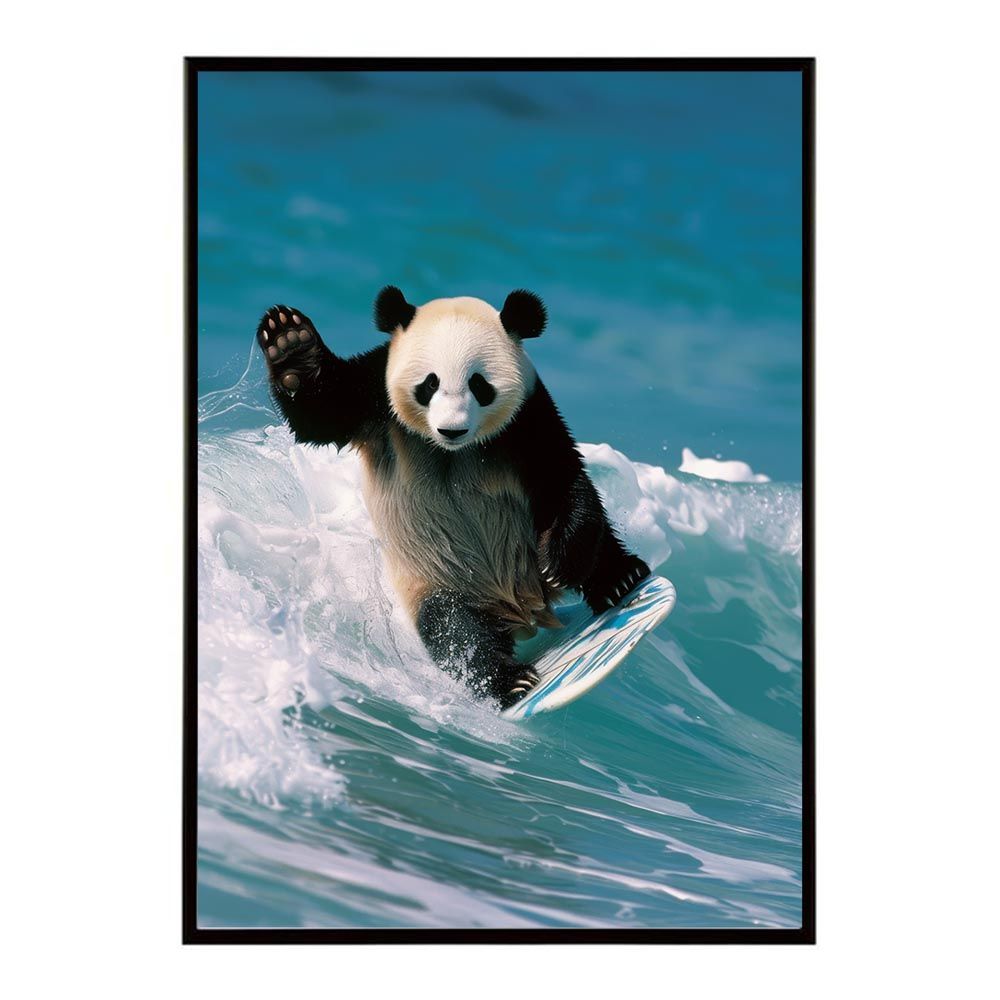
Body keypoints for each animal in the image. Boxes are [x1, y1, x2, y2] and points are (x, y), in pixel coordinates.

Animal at [257, 287, 650, 708]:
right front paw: (290, 341)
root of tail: (525, 605)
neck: (454, 451)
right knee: (457, 631)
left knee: (595, 533)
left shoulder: (526, 415)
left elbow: (560, 473)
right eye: (429, 384)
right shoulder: (377, 397)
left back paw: (619, 579)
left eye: (479, 385)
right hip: (441, 577)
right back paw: (510, 681)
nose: (452, 428)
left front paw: (560, 562)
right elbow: (322, 413)